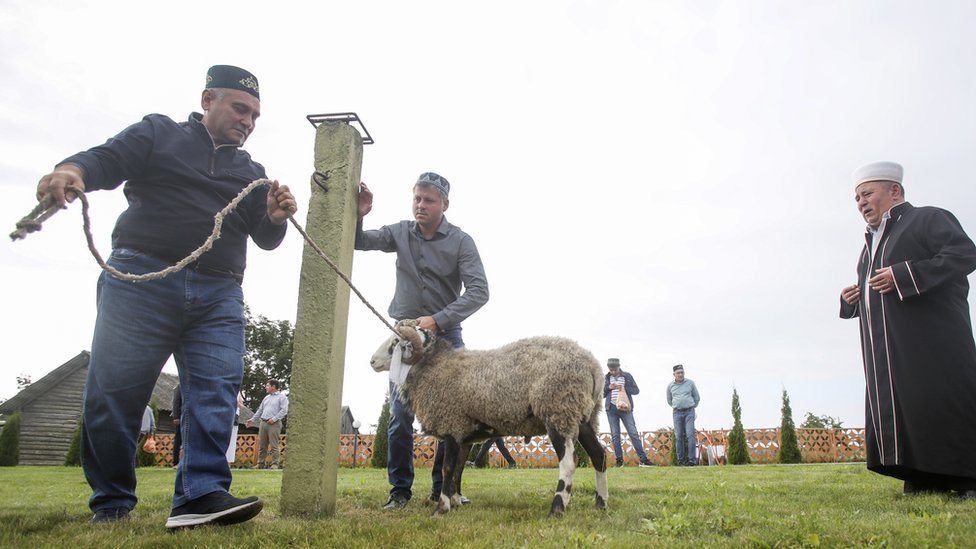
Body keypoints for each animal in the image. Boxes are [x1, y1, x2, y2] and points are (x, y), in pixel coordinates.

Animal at [370, 318, 608, 516]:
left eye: (396, 343)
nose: (372, 361)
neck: (434, 366)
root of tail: (593, 366)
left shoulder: (451, 424)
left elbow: (447, 468)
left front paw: (442, 508)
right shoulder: (463, 434)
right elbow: (458, 469)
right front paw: (456, 501)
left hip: (558, 410)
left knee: (569, 462)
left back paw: (557, 508)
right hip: (583, 415)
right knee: (599, 455)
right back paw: (601, 504)